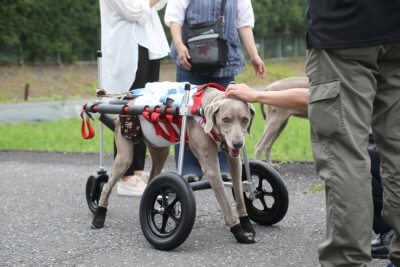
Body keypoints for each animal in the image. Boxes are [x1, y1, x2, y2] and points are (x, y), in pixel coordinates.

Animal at [90, 86, 256, 245]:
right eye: (226, 119)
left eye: (245, 119)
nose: (238, 143)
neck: (202, 110)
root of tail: (127, 101)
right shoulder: (211, 169)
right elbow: (225, 203)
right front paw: (238, 231)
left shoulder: (234, 161)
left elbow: (239, 194)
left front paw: (247, 224)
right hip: (124, 156)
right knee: (107, 186)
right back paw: (99, 215)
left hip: (160, 150)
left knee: (152, 179)